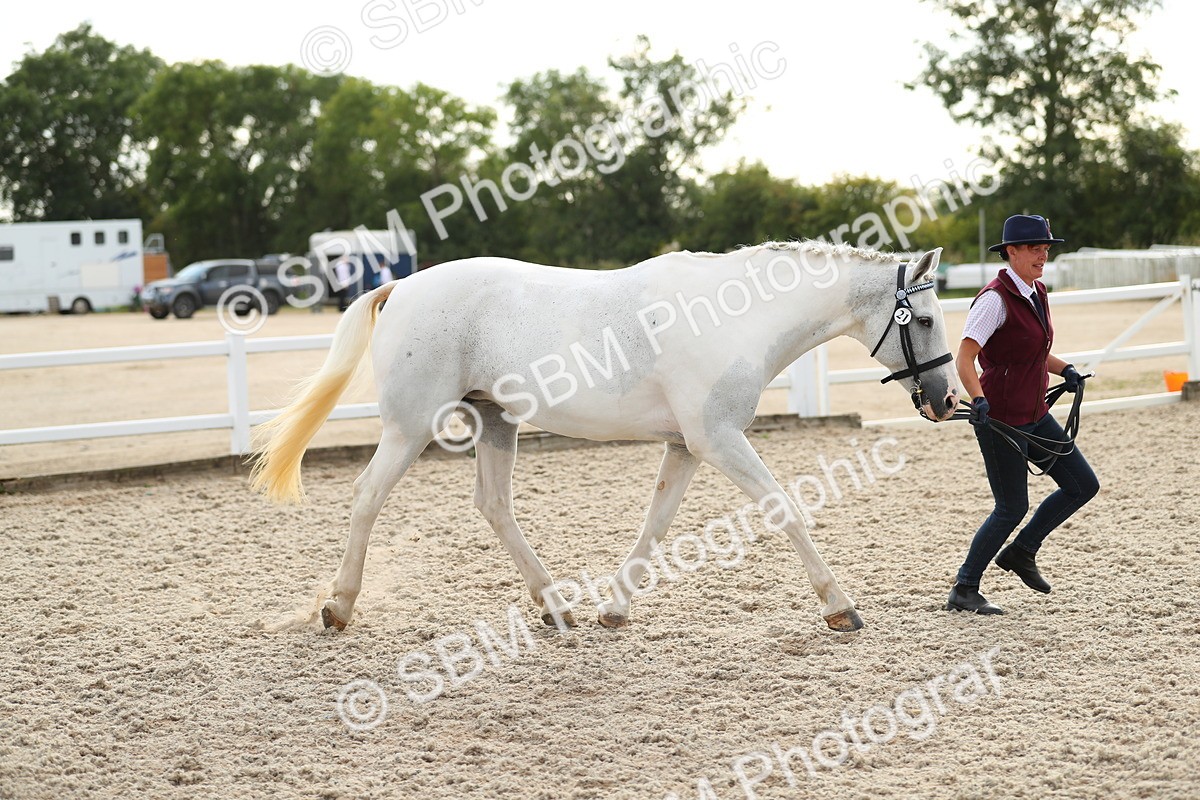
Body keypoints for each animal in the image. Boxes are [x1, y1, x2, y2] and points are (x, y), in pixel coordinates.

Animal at [250, 241, 959, 634]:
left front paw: (614, 610)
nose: (949, 400)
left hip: (496, 421)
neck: (738, 316)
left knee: (494, 506)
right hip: (411, 427)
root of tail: (398, 287)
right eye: (924, 319)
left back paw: (555, 608)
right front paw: (841, 608)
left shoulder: (686, 446)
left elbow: (656, 523)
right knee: (368, 496)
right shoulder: (718, 439)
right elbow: (784, 509)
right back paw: (338, 609)